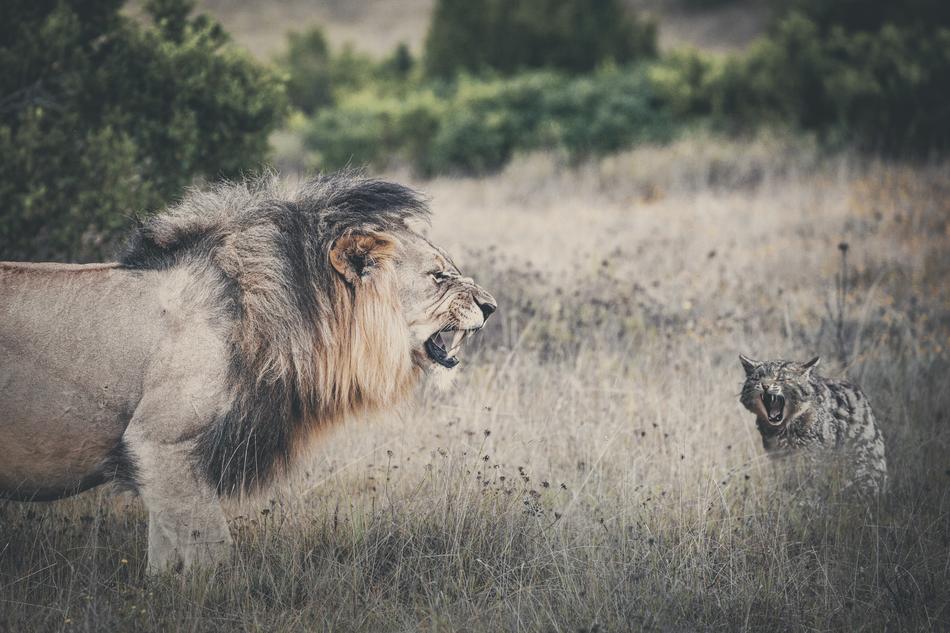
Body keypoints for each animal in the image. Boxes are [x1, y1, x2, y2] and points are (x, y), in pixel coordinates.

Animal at [0, 172, 496, 573]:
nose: (491, 306)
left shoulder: (164, 461)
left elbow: (165, 556)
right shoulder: (160, 442)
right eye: (437, 276)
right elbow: (212, 550)